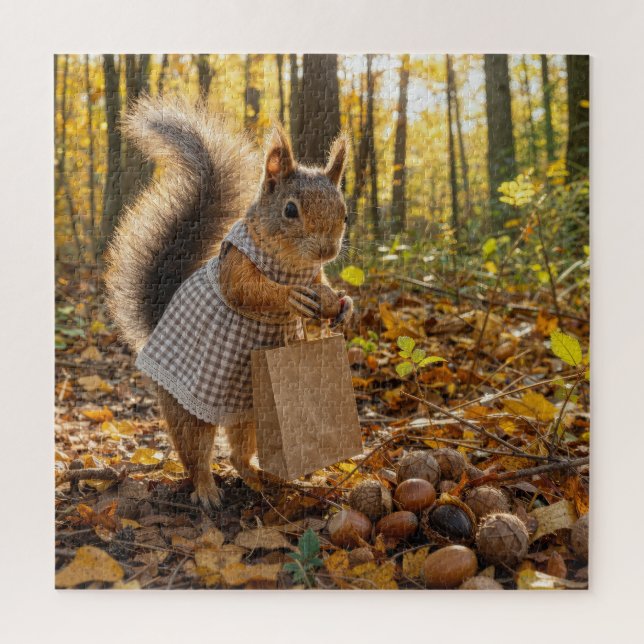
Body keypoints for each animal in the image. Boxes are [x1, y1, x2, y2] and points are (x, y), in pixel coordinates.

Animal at [105, 95, 353, 511]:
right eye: (290, 210)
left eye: (345, 213)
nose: (327, 250)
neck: (292, 265)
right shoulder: (235, 263)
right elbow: (244, 290)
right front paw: (288, 297)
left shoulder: (315, 275)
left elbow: (324, 287)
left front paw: (345, 306)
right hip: (190, 410)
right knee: (195, 455)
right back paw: (207, 490)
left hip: (250, 410)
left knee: (239, 453)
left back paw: (259, 477)